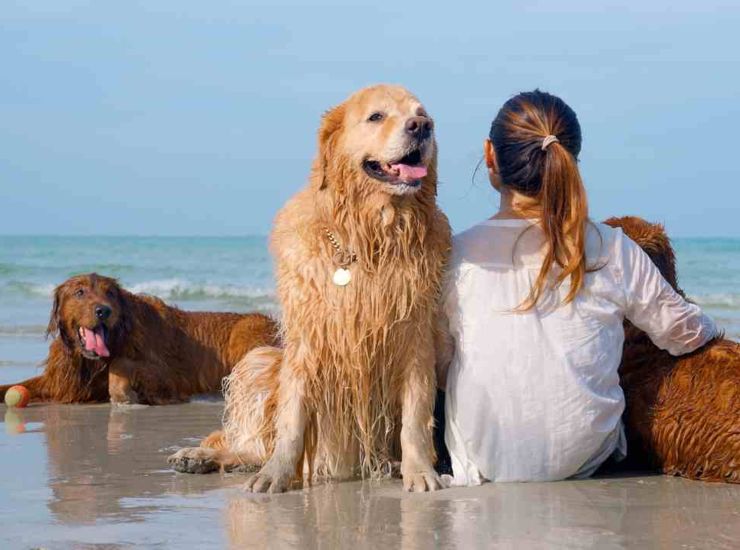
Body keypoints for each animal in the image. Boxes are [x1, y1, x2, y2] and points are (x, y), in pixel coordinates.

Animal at [0, 274, 278, 408]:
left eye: (110, 293)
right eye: (79, 292)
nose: (103, 311)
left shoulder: (168, 375)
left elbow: (120, 365)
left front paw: (126, 394)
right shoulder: (60, 380)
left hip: (246, 332)